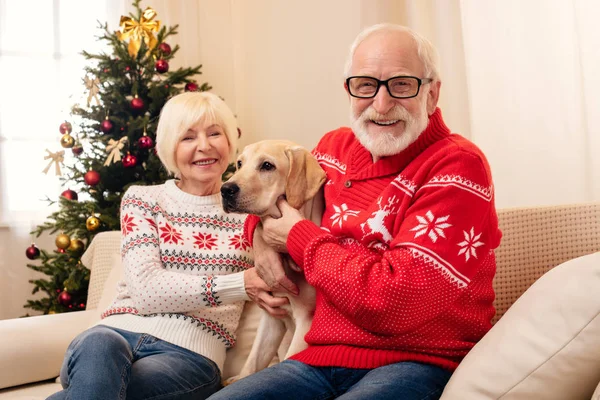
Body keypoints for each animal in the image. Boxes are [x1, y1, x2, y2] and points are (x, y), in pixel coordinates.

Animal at [220, 139, 326, 382]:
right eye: (239, 163)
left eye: (267, 166)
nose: (225, 189)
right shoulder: (272, 318)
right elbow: (252, 364)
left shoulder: (305, 322)